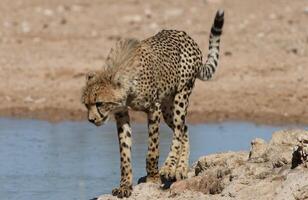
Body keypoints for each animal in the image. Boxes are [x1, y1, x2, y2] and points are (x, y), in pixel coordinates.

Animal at [81, 9, 224, 198]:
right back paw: (181, 168)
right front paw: (125, 186)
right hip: (167, 108)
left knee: (178, 131)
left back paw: (169, 168)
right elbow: (124, 154)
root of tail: (186, 35)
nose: (91, 120)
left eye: (99, 103)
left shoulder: (153, 109)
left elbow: (152, 148)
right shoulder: (121, 113)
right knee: (184, 128)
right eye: (86, 104)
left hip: (181, 96)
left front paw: (153, 177)